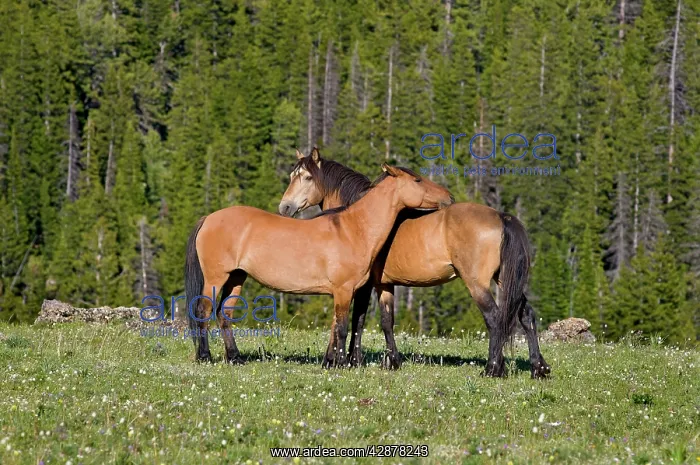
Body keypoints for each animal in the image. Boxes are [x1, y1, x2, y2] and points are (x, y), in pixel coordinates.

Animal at [184, 163, 454, 367]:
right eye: (417, 180)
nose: (449, 197)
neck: (354, 228)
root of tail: (209, 218)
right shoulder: (344, 290)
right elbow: (343, 328)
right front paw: (342, 364)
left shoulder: (346, 291)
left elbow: (339, 326)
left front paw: (332, 361)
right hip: (216, 278)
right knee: (203, 311)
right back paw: (205, 356)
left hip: (236, 277)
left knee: (224, 314)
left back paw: (235, 358)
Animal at [278, 148, 551, 378]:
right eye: (292, 175)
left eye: (307, 177)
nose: (285, 207)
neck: (359, 219)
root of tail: (501, 216)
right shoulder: (384, 284)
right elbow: (386, 321)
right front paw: (391, 362)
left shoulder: (361, 286)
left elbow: (356, 319)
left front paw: (341, 360)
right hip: (506, 280)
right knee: (526, 315)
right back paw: (539, 368)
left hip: (477, 284)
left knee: (494, 319)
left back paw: (493, 368)